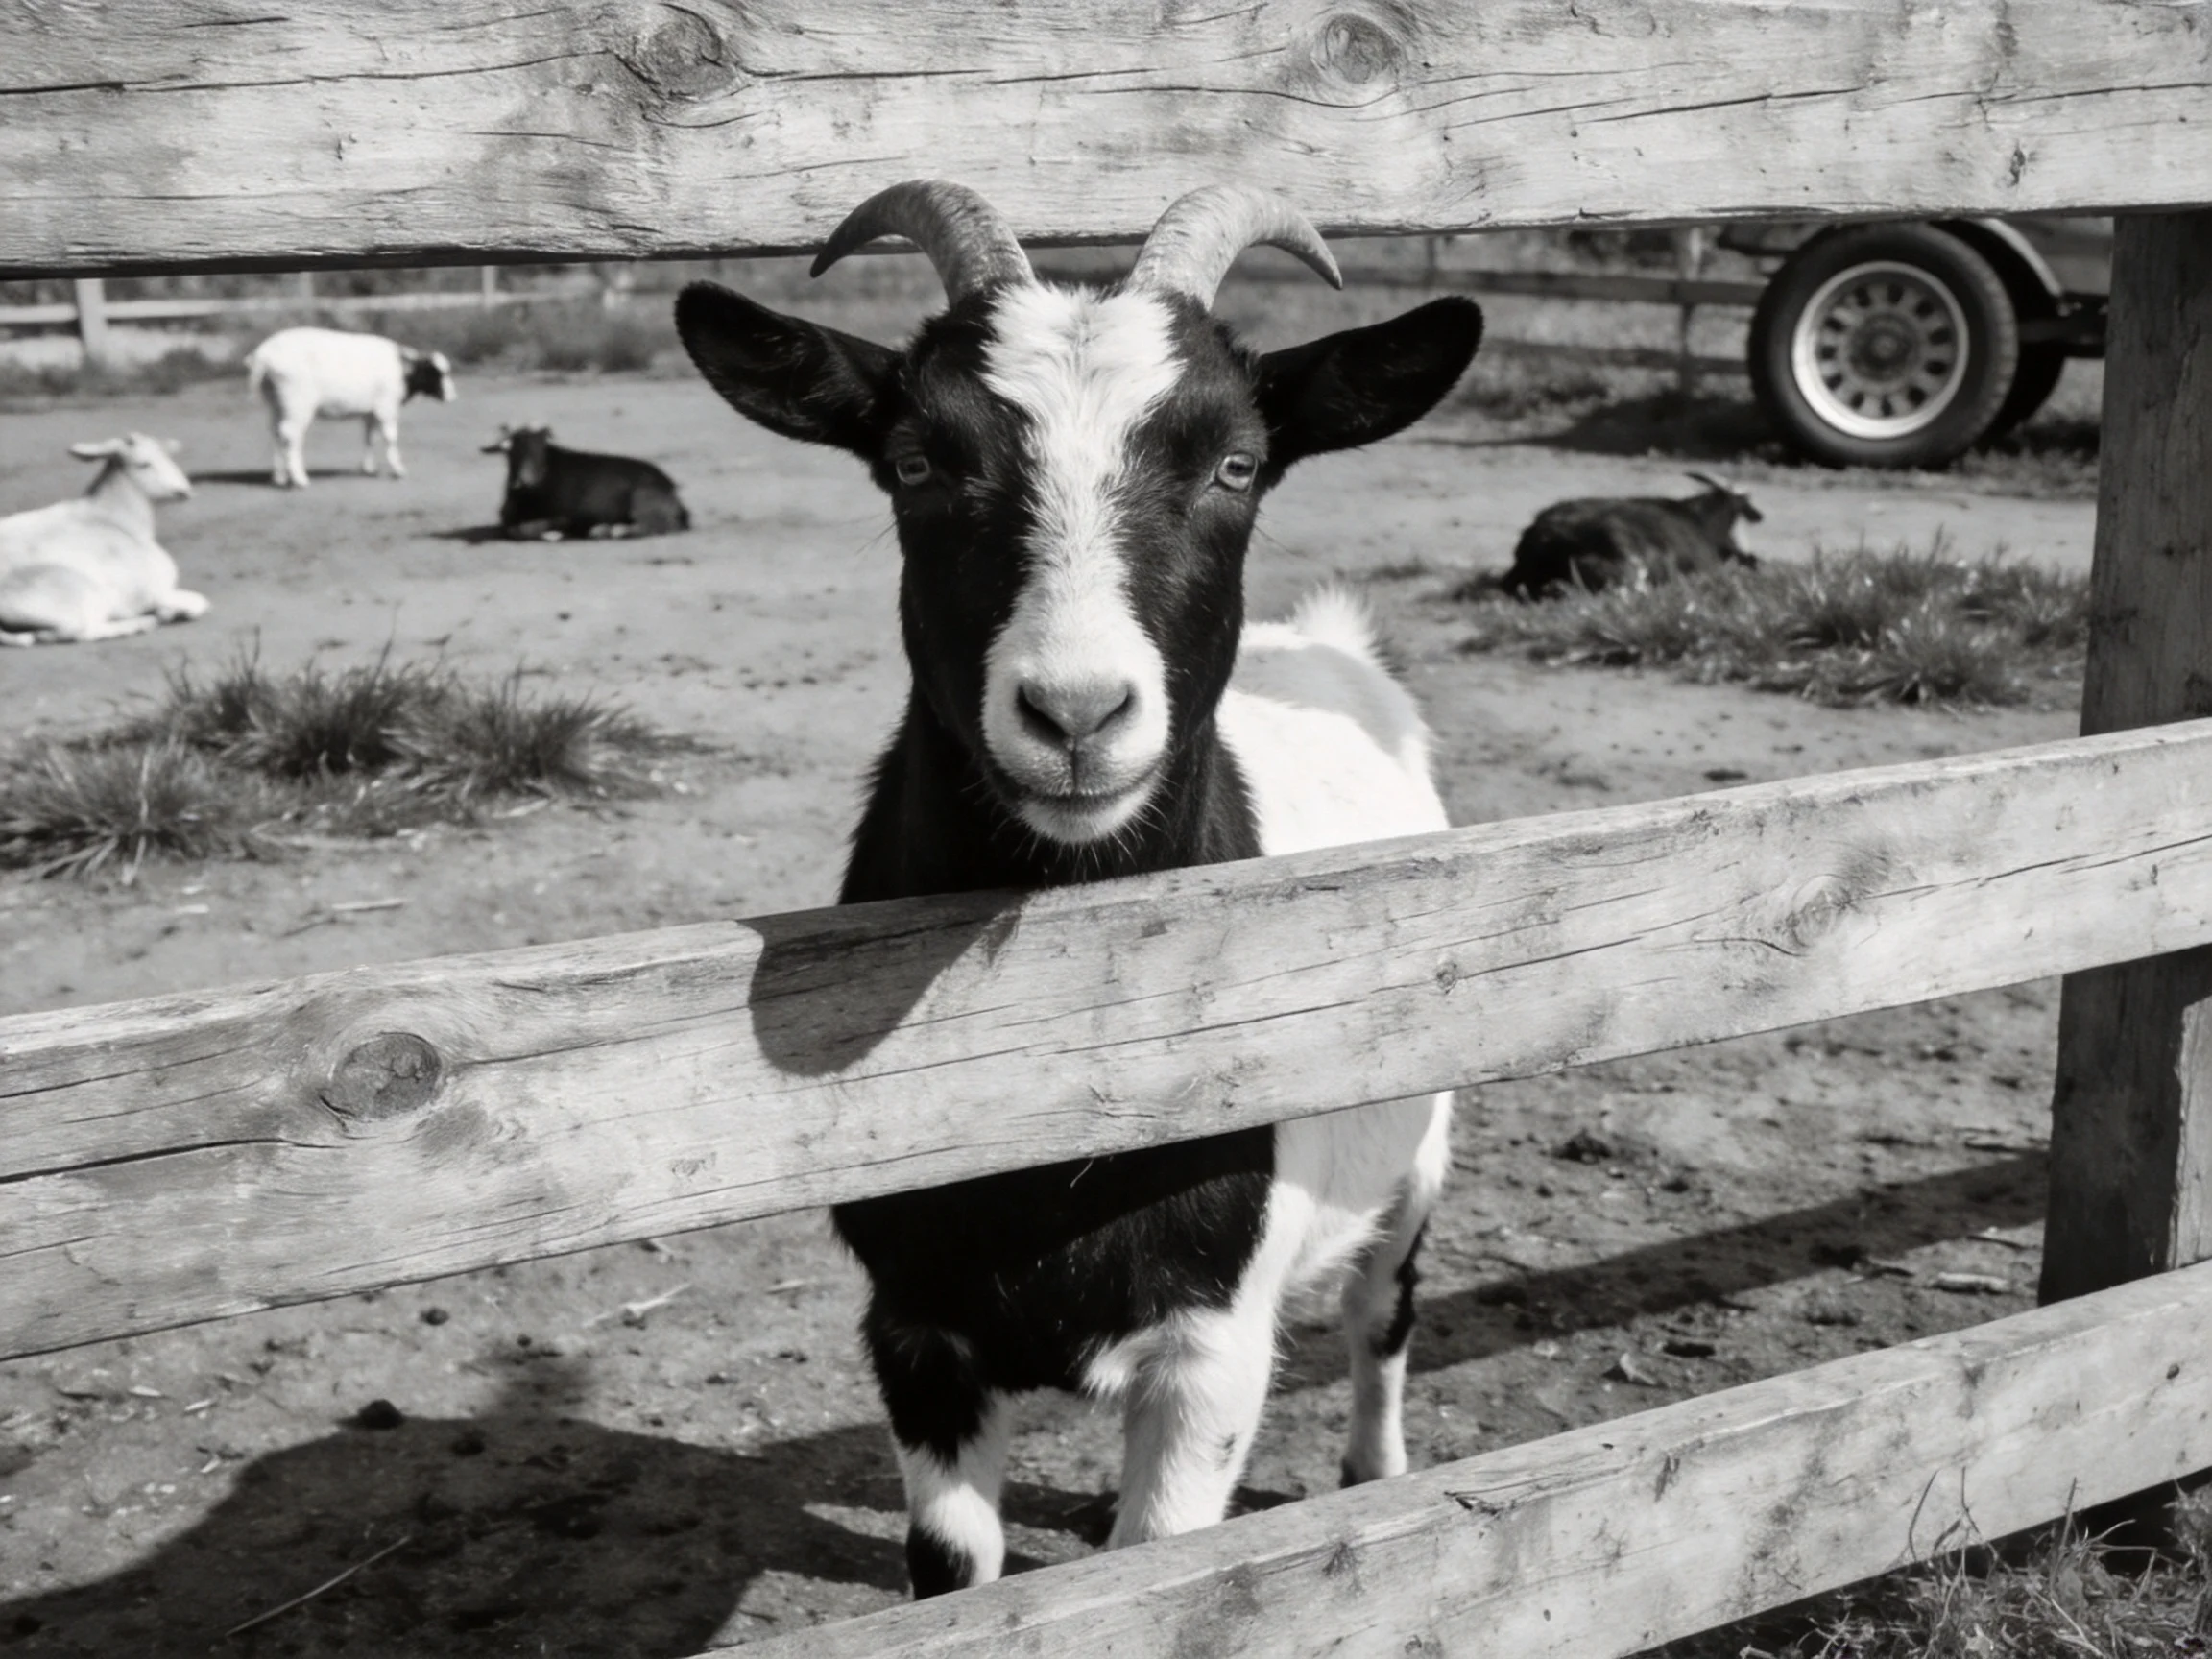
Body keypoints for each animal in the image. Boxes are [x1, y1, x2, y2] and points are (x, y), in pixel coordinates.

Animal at [0, 435, 205, 646]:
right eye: (144, 464)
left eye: (167, 457)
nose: (185, 491)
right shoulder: (154, 592)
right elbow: (200, 603)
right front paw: (171, 613)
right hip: (79, 594)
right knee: (77, 632)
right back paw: (139, 624)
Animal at [245, 326, 455, 488]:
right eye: (436, 373)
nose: (453, 396)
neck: (402, 371)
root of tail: (264, 354)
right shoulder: (386, 408)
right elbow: (390, 438)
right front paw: (398, 470)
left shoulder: (371, 412)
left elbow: (370, 438)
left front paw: (368, 469)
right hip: (297, 403)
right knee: (290, 435)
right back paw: (299, 479)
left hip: (277, 403)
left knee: (276, 433)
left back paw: (279, 477)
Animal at [481, 426, 690, 539]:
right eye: (510, 453)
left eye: (541, 449)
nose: (526, 478)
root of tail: (671, 487)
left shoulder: (565, 516)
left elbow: (525, 529)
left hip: (643, 503)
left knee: (657, 527)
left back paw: (611, 531)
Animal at [675, 180, 1482, 1598]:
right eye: (917, 462)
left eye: (1235, 465)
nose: (1075, 714)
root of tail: (1327, 643)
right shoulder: (913, 1332)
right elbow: (953, 1575)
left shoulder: (1212, 1343)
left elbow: (1162, 1564)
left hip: (1416, 1154)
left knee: (1383, 1311)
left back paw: (1375, 1471)